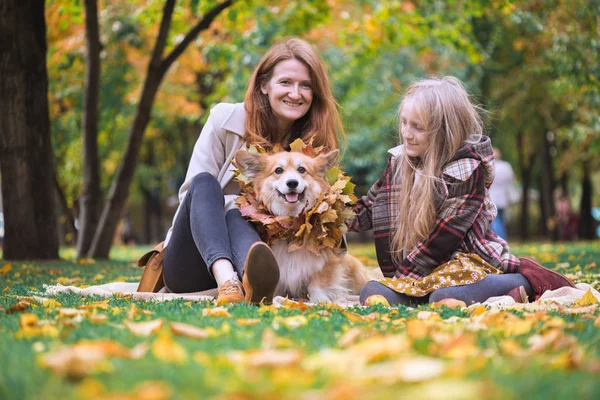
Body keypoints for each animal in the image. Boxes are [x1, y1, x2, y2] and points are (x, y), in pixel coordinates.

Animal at [232, 148, 378, 302]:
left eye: (301, 169)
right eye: (278, 170)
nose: (292, 183)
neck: (293, 226)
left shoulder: (326, 263)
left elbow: (318, 284)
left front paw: (321, 300)